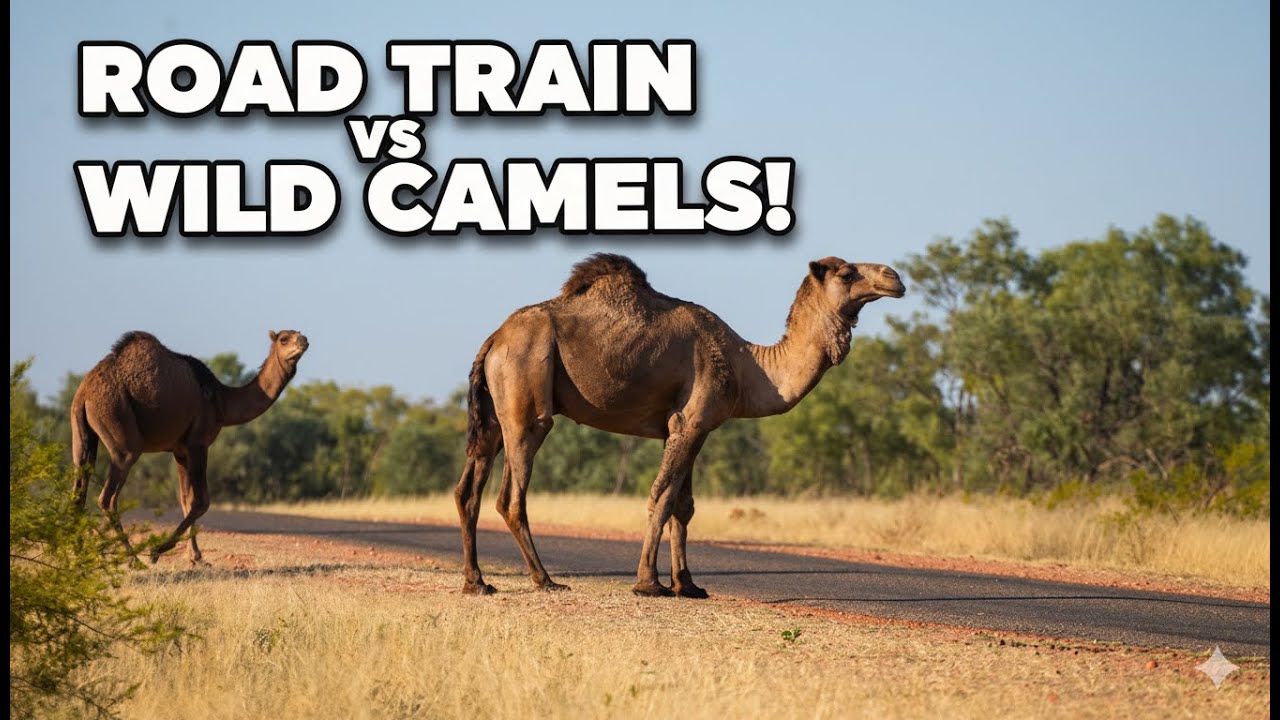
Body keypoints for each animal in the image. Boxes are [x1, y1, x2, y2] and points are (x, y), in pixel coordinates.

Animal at [70, 329, 309, 564]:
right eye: (284, 339)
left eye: (300, 334)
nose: (304, 341)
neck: (221, 401)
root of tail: (84, 393)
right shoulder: (198, 443)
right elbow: (201, 501)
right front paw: (159, 551)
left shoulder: (180, 451)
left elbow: (186, 499)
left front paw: (196, 557)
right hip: (119, 425)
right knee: (108, 497)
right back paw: (132, 558)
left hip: (82, 434)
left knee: (79, 486)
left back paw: (78, 551)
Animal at [455, 254, 904, 597]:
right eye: (846, 273)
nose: (894, 277)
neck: (748, 365)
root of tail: (493, 340)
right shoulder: (691, 421)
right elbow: (662, 497)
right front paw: (649, 583)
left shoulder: (685, 428)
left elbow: (683, 506)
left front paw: (687, 584)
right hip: (526, 393)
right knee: (511, 496)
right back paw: (545, 580)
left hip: (494, 415)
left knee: (468, 491)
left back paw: (477, 583)